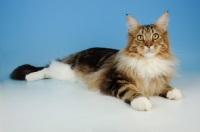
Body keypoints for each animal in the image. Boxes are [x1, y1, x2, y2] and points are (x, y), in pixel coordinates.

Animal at [11, 11, 182, 111]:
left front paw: (173, 91)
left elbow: (162, 85)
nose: (148, 45)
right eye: (140, 37)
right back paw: (30, 77)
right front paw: (142, 101)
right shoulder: (115, 80)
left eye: (155, 36)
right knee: (48, 68)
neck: (148, 62)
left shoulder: (156, 78)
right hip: (66, 71)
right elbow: (130, 90)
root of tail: (79, 52)